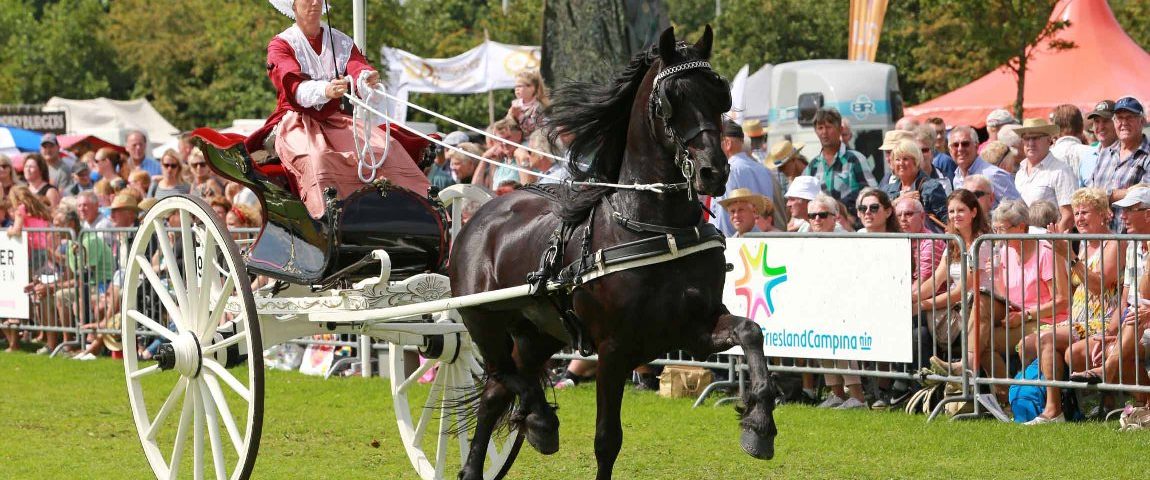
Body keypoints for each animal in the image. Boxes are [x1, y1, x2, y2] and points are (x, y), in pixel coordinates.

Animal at [448, 27, 782, 478]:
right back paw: (538, 420)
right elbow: (607, 439)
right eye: (670, 100)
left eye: (721, 94)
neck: (659, 228)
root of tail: (479, 215)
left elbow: (750, 331)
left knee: (498, 389)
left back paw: (516, 436)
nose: (714, 171)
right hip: (484, 322)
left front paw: (759, 422)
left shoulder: (692, 330)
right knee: (504, 376)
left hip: (537, 333)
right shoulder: (612, 350)